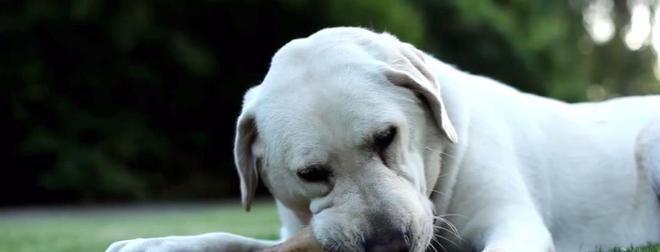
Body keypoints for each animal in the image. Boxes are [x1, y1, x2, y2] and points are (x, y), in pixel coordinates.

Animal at [109, 26, 660, 251]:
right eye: (312, 174)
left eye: (386, 137)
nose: (388, 245)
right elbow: (232, 239)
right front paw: (152, 243)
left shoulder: (513, 223)